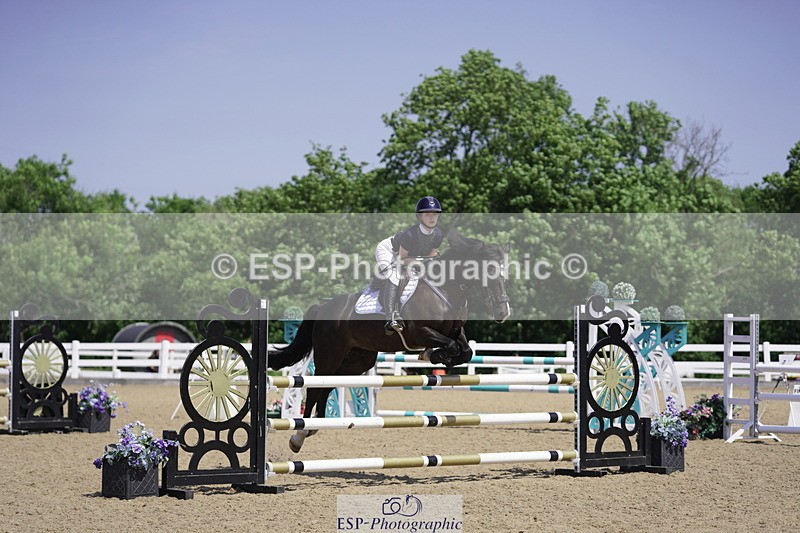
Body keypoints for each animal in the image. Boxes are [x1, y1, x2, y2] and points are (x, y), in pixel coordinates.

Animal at [268, 230, 511, 452]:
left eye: (504, 274)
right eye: (490, 271)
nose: (502, 312)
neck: (447, 289)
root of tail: (324, 307)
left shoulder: (455, 331)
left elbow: (466, 351)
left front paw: (439, 356)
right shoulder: (419, 332)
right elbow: (450, 345)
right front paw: (434, 354)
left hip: (357, 360)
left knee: (328, 387)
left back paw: (315, 425)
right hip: (330, 354)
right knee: (314, 387)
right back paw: (299, 435)